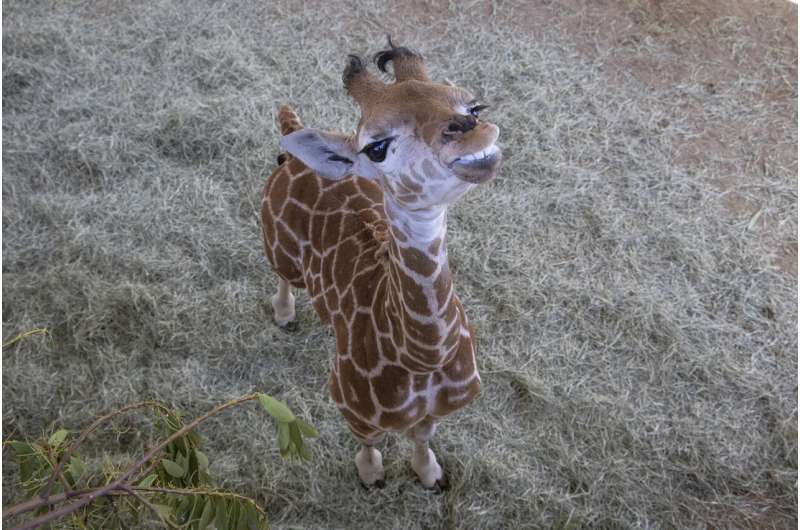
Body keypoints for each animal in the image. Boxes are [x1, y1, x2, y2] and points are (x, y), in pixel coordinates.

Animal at [260, 39, 500, 488]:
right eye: (376, 147)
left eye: (475, 107)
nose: (471, 132)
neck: (422, 359)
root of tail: (289, 137)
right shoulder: (351, 405)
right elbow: (368, 443)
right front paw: (372, 477)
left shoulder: (440, 410)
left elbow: (422, 438)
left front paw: (431, 476)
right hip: (277, 247)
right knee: (283, 278)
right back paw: (285, 317)